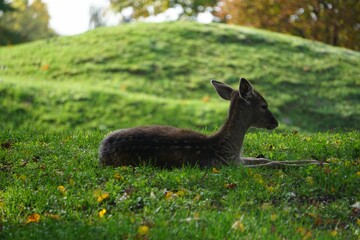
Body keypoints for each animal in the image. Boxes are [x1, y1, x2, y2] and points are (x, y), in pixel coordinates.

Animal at [99, 78, 324, 168]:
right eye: (264, 105)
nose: (275, 123)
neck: (227, 147)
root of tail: (101, 152)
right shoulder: (229, 165)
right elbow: (272, 163)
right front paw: (319, 162)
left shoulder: (237, 160)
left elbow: (264, 159)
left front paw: (318, 160)